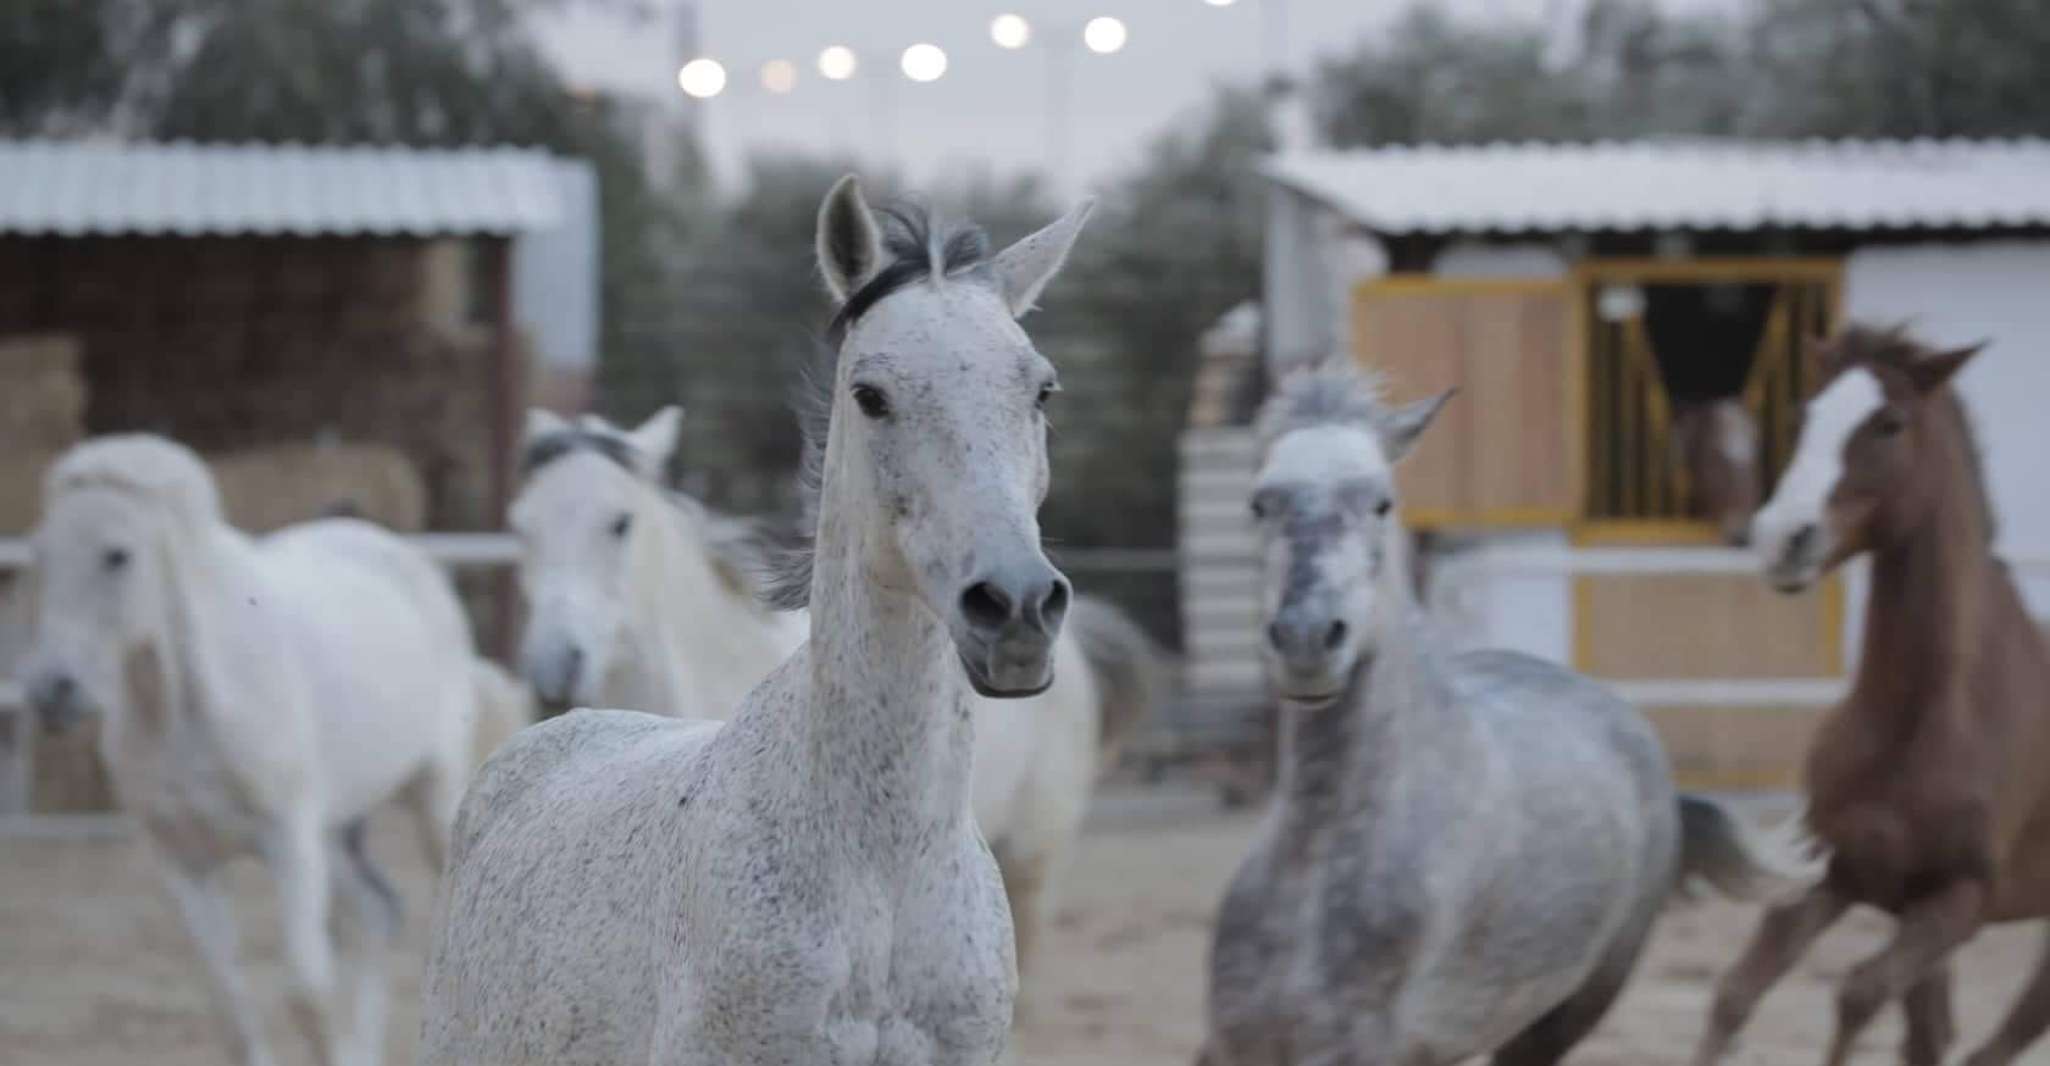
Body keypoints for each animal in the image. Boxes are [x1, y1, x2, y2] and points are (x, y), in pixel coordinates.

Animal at [17, 434, 480, 1066]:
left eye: (117, 555)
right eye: (41, 554)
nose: (51, 691)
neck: (189, 710)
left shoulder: (287, 842)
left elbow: (306, 991)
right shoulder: (184, 861)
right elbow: (230, 1004)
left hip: (432, 799)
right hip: (333, 834)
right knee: (373, 914)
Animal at [1695, 324, 2050, 1066]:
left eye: (1889, 424)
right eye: (1804, 414)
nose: (1782, 538)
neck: (1920, 716)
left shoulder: (1959, 901)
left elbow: (1858, 994)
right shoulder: (1837, 871)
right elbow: (1736, 992)